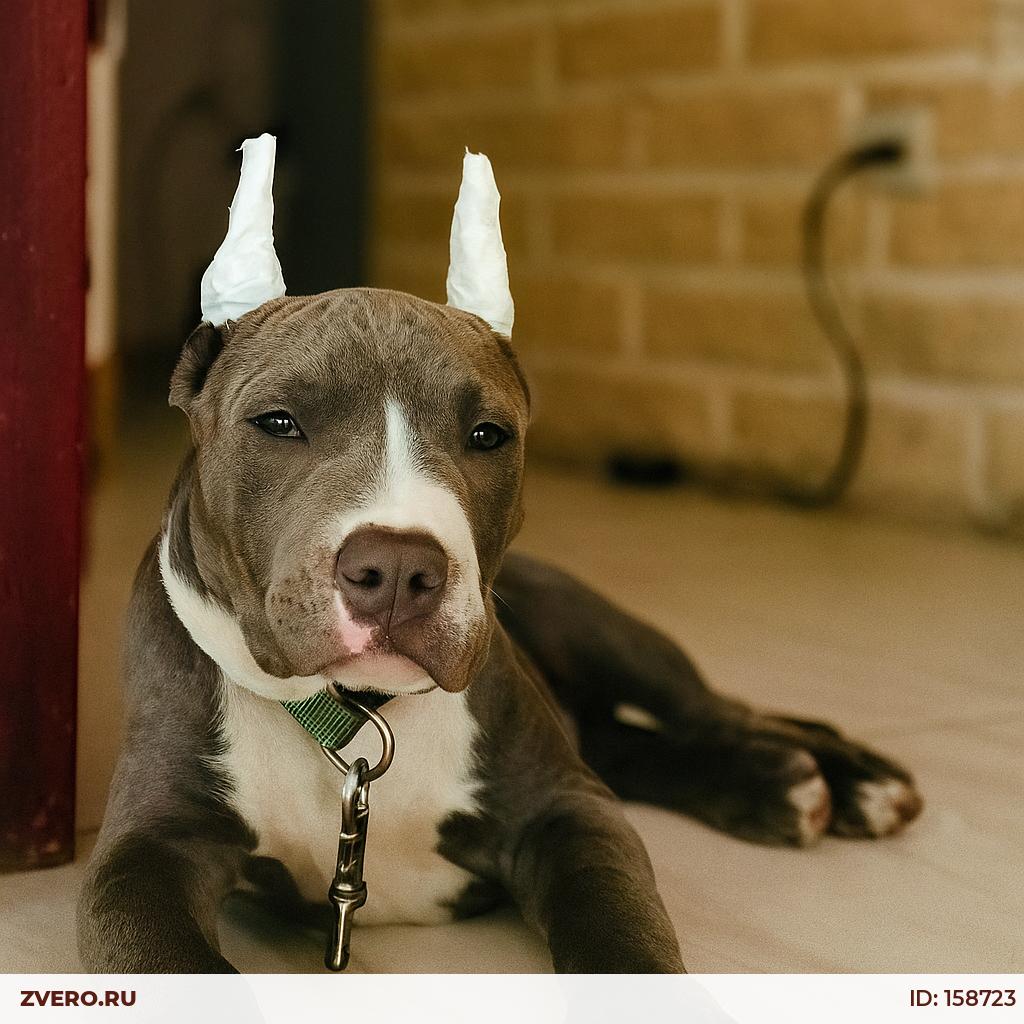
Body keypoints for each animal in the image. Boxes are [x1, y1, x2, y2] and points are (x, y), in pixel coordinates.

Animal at [77, 140, 922, 974]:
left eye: (488, 435)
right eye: (278, 422)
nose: (397, 570)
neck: (358, 717)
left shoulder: (568, 808)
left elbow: (618, 926)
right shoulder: (141, 857)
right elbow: (175, 960)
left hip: (602, 631)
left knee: (722, 713)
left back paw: (851, 782)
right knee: (633, 746)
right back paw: (777, 787)